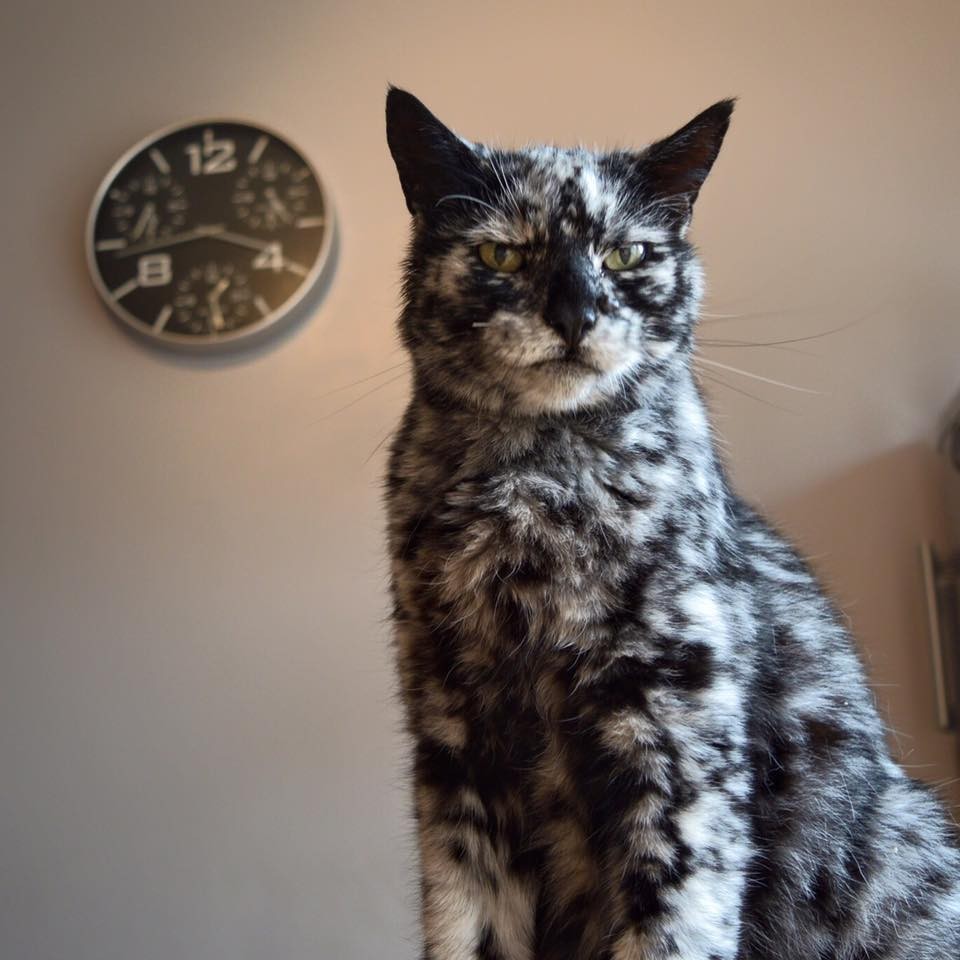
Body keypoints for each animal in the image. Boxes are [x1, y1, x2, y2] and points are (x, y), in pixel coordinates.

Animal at [382, 88, 960, 960]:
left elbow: (673, 928)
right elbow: (467, 928)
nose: (577, 312)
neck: (534, 492)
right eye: (501, 257)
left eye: (627, 255)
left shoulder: (679, 744)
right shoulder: (455, 751)